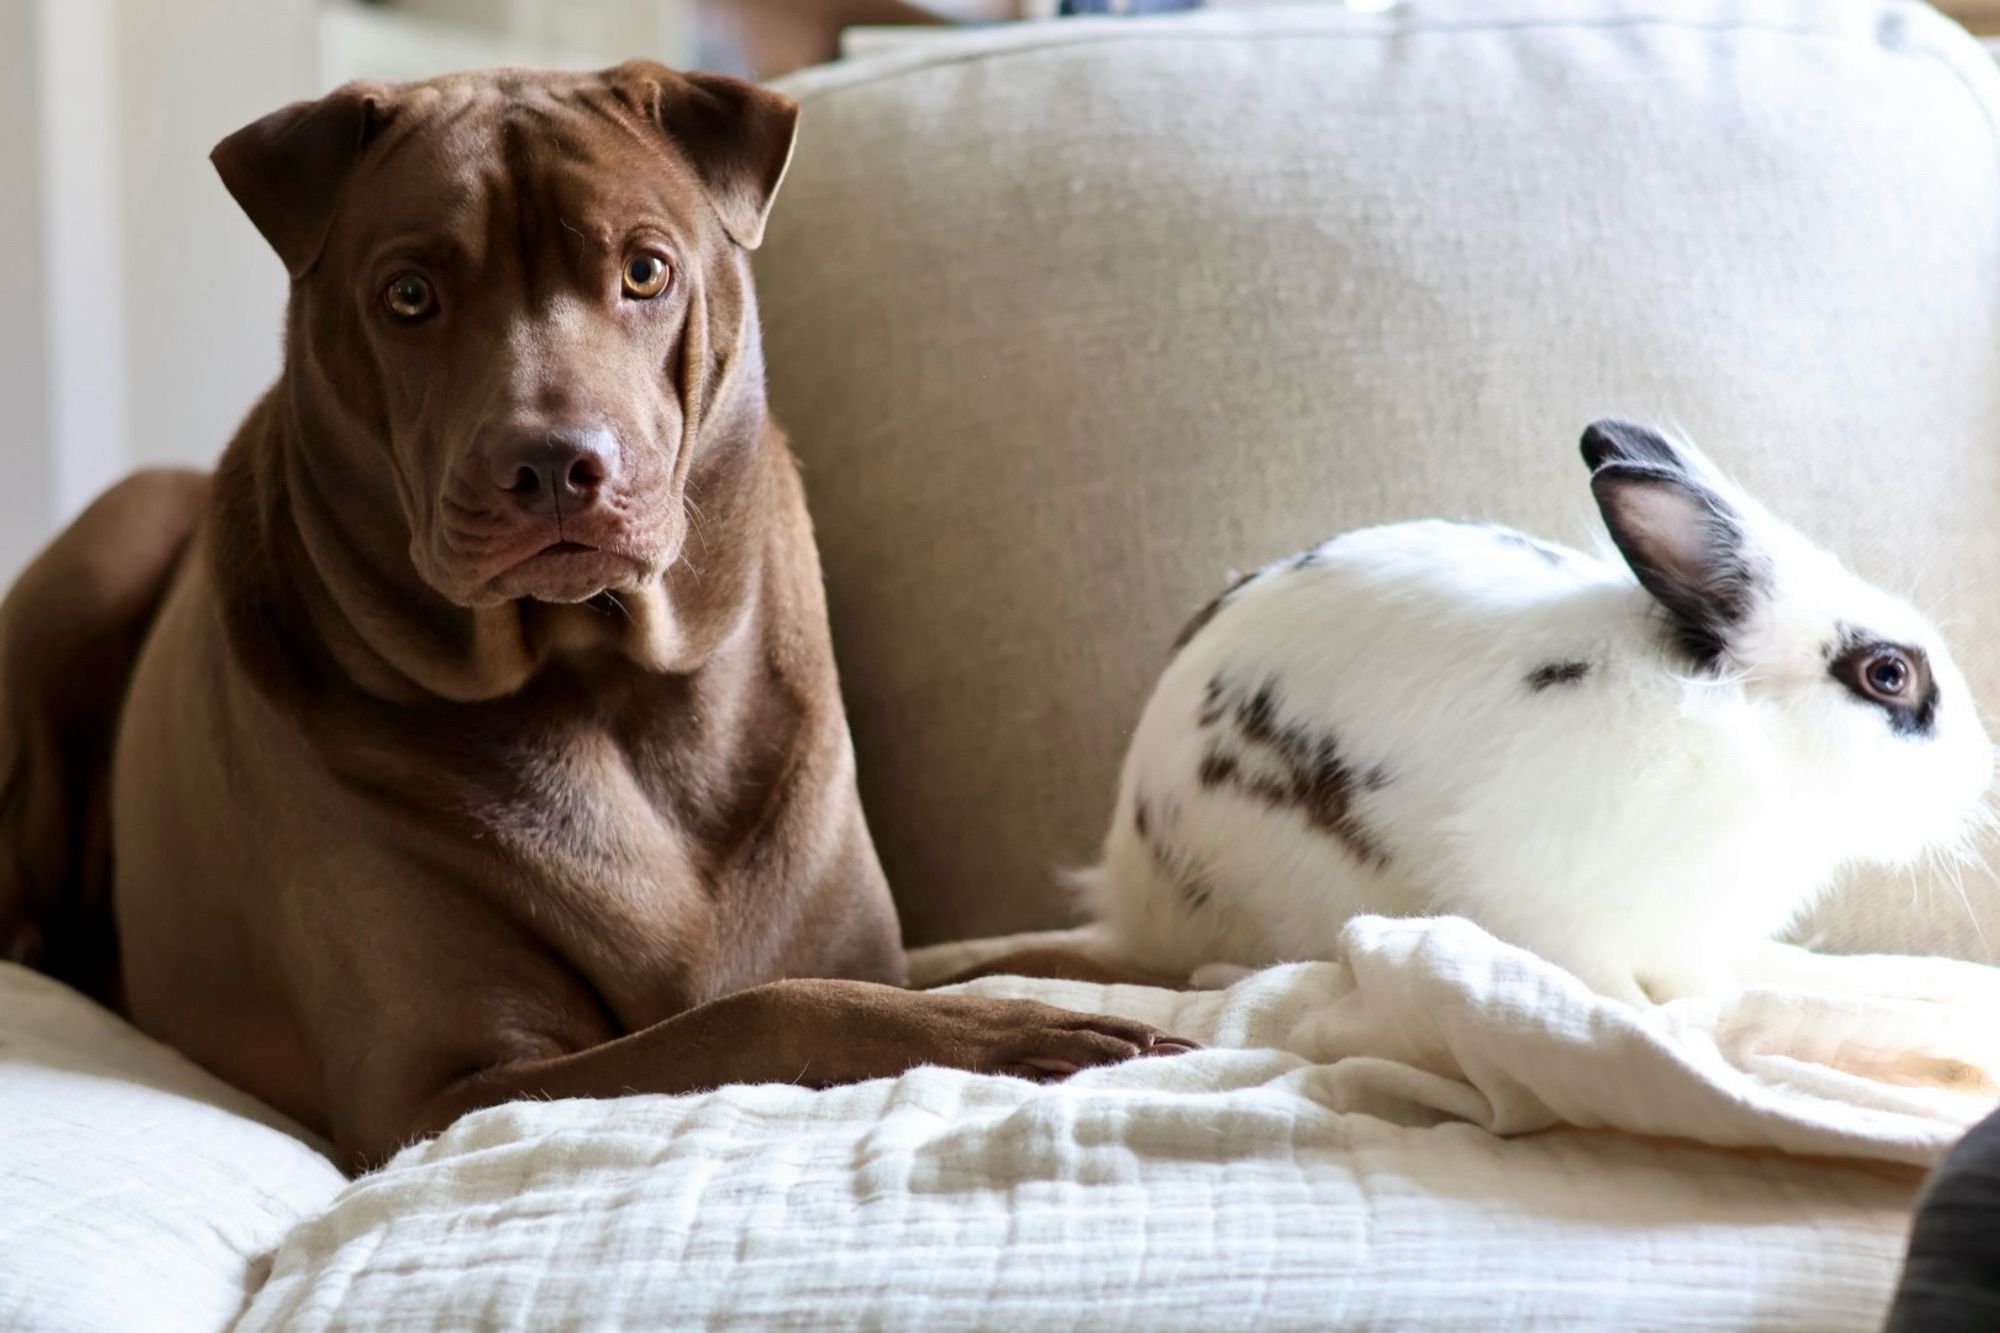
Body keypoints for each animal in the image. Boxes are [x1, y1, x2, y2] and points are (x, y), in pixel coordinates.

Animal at [0, 65, 1184, 1160]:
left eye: (645, 270)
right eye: (410, 295)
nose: (554, 465)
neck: (605, 683)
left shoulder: (866, 946)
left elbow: (991, 956)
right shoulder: (443, 1092)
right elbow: (754, 1015)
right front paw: (1009, 1030)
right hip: (119, 525)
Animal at [1088, 416, 1992, 996]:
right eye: (1888, 675)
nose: (1982, 769)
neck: (1753, 740)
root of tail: (1126, 881)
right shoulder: (1550, 896)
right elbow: (1600, 979)